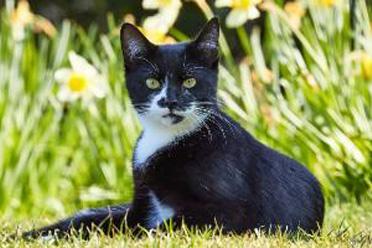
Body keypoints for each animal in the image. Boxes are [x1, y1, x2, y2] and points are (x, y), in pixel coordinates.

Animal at [24, 17, 324, 238]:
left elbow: (160, 227)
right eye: (152, 82)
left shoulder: (229, 211)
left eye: (190, 81)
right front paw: (37, 234)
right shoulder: (141, 204)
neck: (167, 139)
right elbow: (99, 222)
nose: (170, 101)